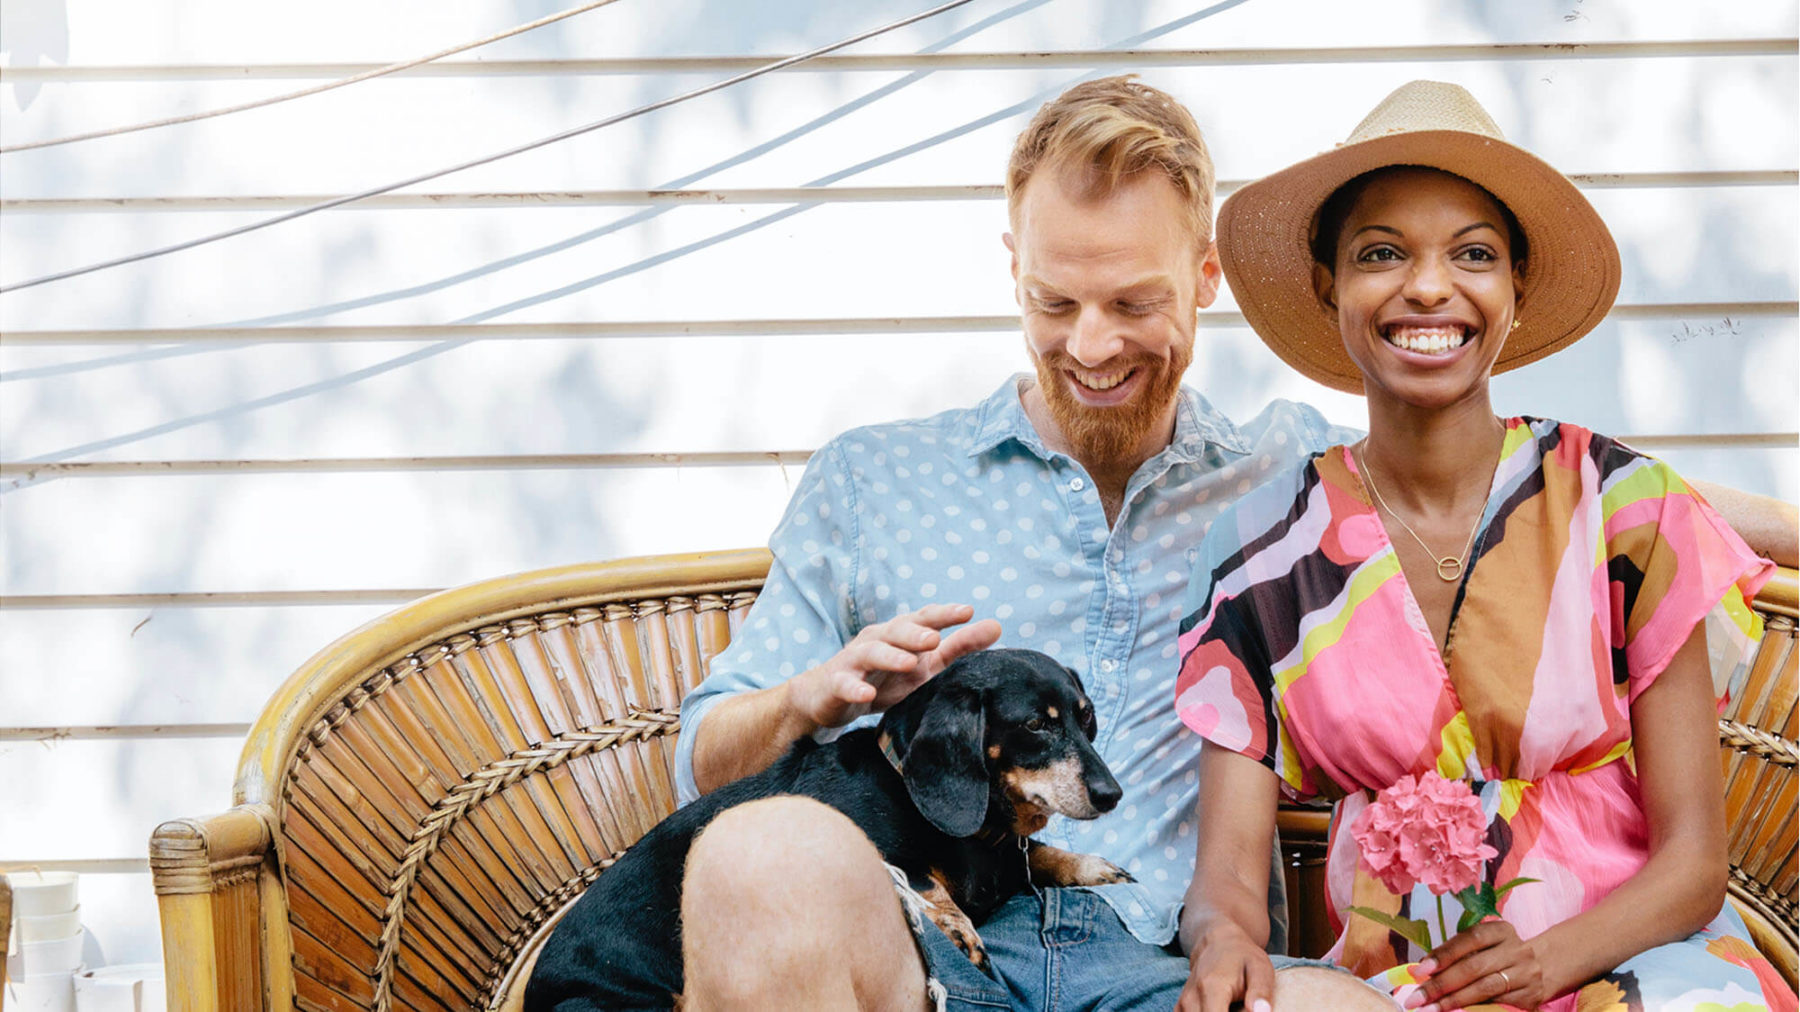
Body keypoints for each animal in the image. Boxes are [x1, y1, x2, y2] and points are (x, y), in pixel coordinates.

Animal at [525, 644, 1130, 1008]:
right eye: (1035, 725)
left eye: (1086, 717)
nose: (1112, 795)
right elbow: (920, 876)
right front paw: (960, 931)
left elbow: (1040, 854)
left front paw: (1091, 866)